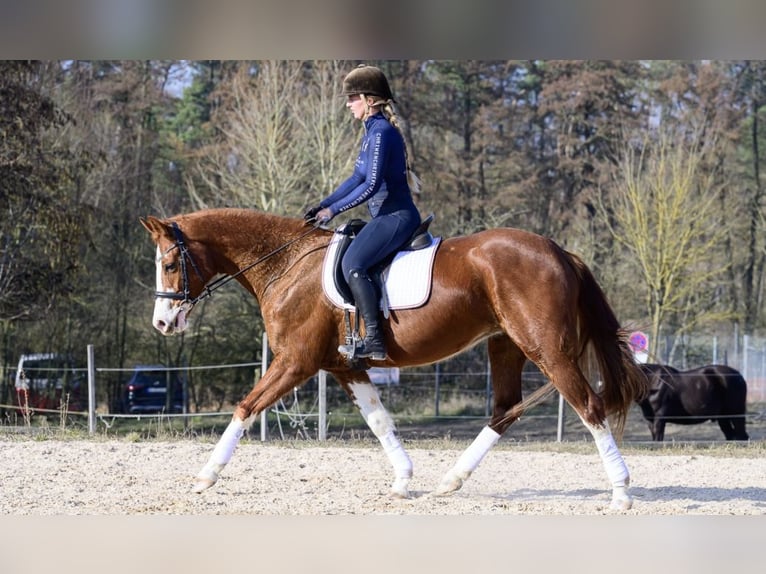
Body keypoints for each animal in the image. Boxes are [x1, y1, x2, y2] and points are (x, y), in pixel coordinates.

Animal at [142, 209, 648, 510]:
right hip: (506, 344)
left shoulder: (294, 361)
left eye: (168, 265)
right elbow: (380, 422)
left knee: (590, 407)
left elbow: (245, 408)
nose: (163, 324)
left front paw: (205, 476)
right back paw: (451, 480)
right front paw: (404, 480)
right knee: (505, 410)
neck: (287, 264)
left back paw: (621, 492)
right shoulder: (345, 367)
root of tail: (559, 251)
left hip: (546, 348)